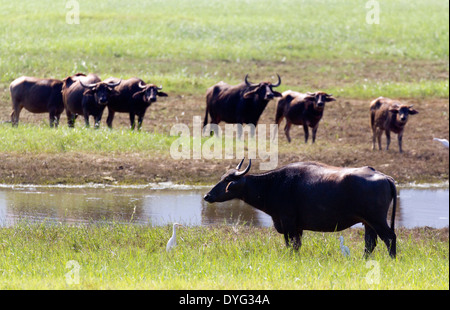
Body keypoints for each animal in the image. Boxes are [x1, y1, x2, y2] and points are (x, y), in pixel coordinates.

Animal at [204, 159, 398, 258]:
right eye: (221, 177)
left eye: (227, 180)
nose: (207, 195)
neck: (274, 184)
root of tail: (384, 177)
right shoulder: (297, 227)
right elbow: (296, 245)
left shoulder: (288, 222)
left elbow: (292, 245)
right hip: (368, 223)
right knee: (370, 243)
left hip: (377, 220)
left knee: (389, 238)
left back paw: (392, 259)